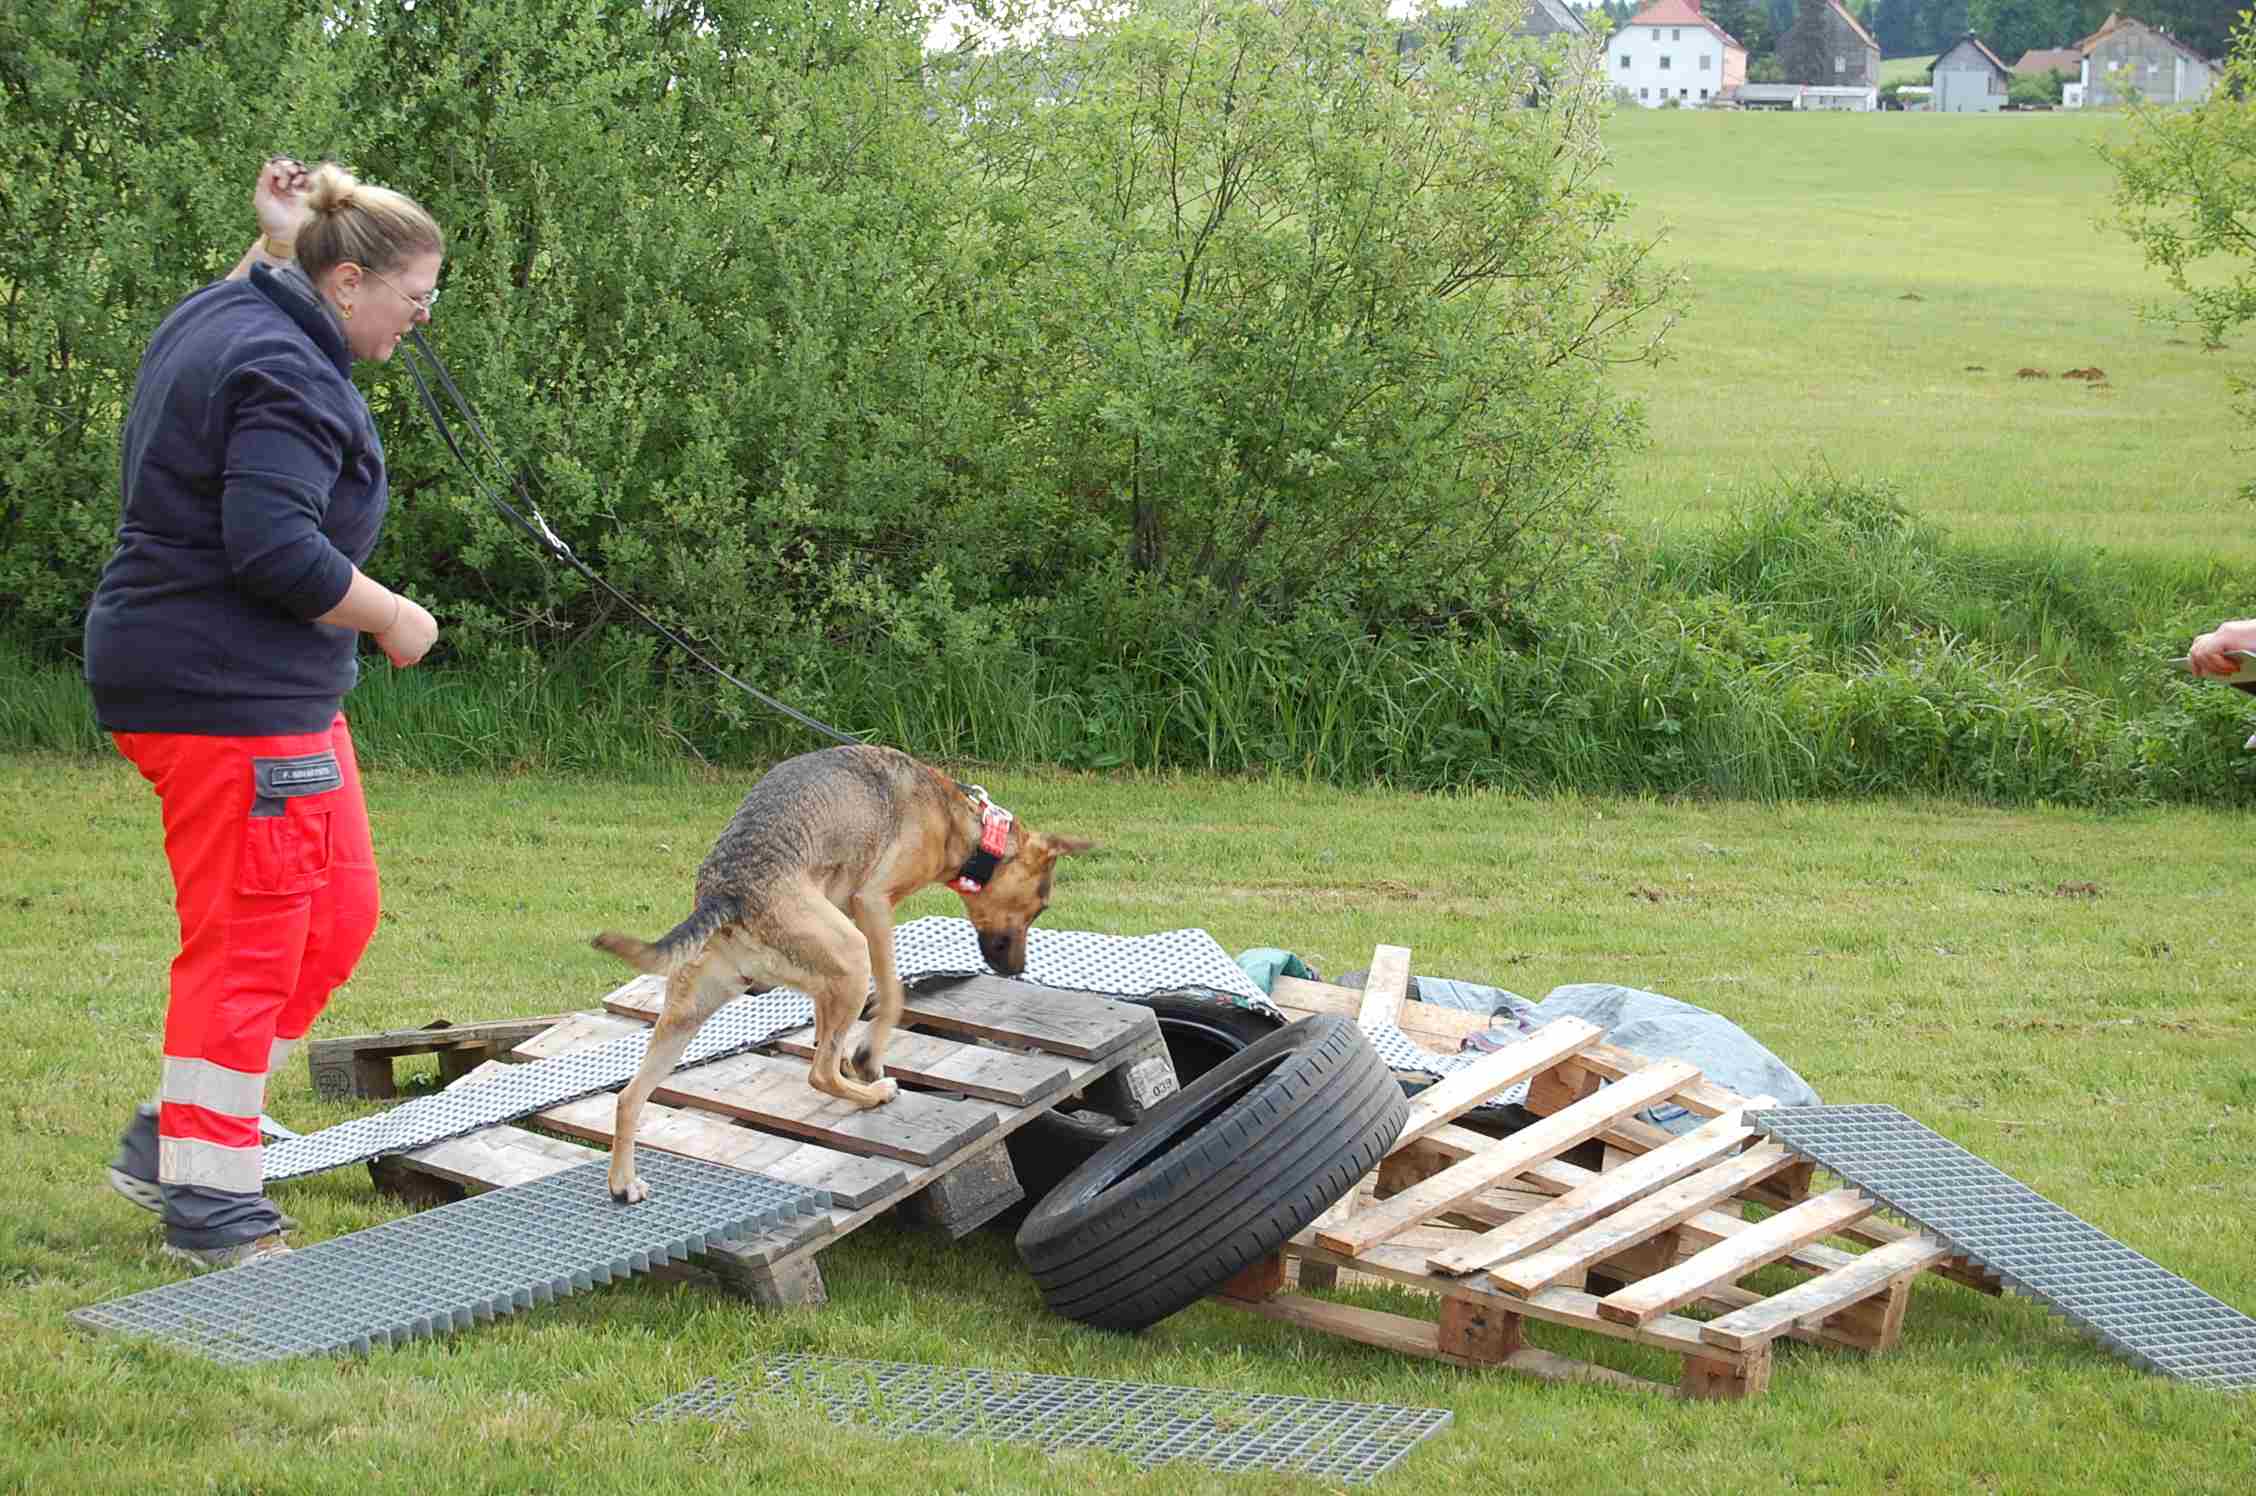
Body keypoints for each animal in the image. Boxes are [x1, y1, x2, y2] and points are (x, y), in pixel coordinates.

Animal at [591, 744, 1093, 1203]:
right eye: (1040, 907)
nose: (1018, 970)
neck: (966, 827)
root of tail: (726, 893)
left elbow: (827, 1021)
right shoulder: (872, 906)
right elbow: (892, 995)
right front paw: (868, 1057)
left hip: (686, 1014)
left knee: (629, 1097)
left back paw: (622, 1183)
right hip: (852, 957)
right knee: (820, 1075)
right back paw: (874, 1093)